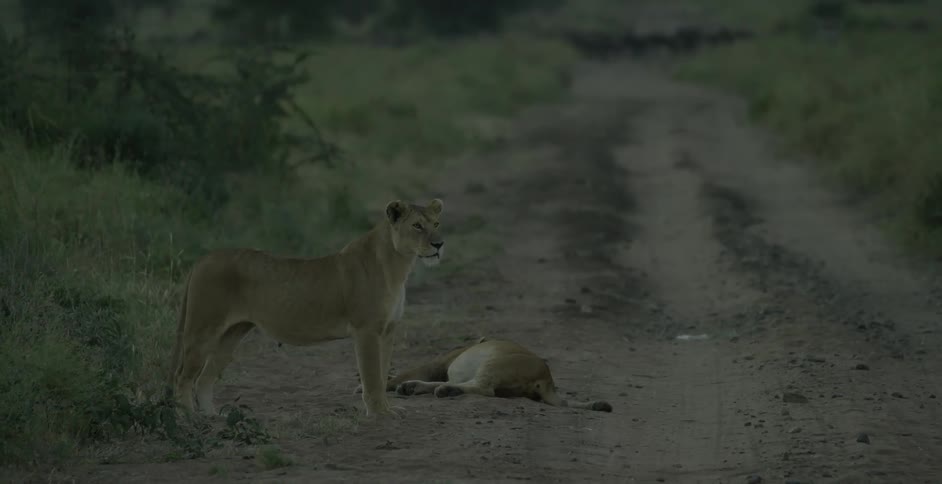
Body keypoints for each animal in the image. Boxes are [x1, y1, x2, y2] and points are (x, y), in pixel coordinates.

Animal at [169, 198, 445, 418]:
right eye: (417, 226)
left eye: (436, 224)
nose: (440, 244)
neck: (398, 265)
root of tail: (203, 259)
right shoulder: (366, 330)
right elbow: (371, 376)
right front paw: (379, 413)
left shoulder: (387, 331)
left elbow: (382, 371)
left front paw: (388, 409)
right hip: (202, 330)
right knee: (183, 376)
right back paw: (189, 418)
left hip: (231, 336)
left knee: (204, 377)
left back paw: (211, 417)